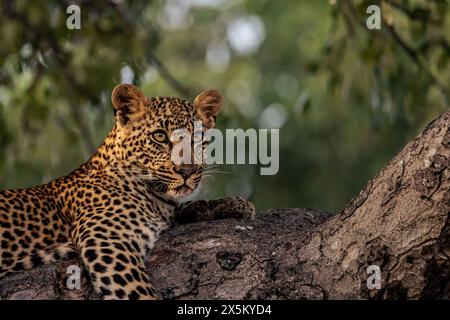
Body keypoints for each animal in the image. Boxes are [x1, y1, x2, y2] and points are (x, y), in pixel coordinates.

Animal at [0, 84, 255, 300]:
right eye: (160, 136)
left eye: (197, 138)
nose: (187, 170)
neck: (157, 198)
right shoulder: (104, 237)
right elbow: (137, 290)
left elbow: (189, 207)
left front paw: (235, 204)